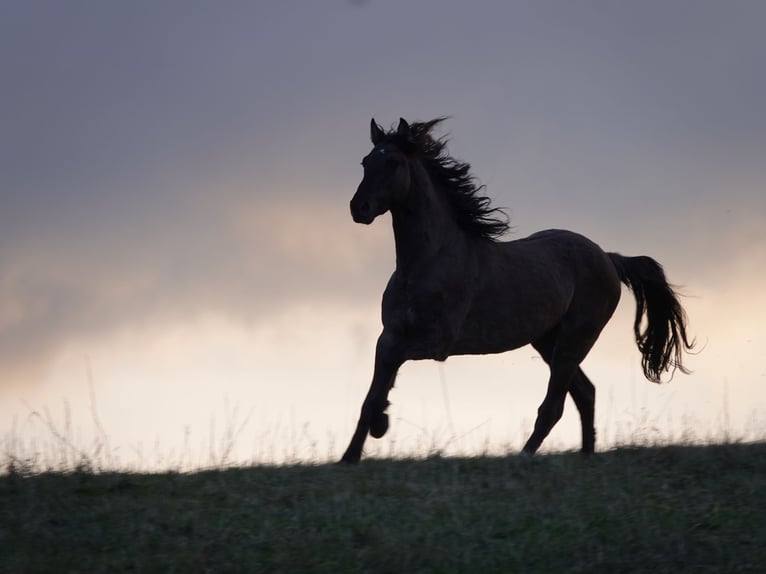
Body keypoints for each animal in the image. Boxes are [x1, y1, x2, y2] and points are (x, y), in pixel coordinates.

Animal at [341, 117, 694, 463]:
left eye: (394, 162)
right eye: (366, 162)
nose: (359, 208)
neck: (425, 264)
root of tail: (609, 257)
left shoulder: (437, 341)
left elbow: (386, 378)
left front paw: (379, 425)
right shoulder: (389, 336)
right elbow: (372, 394)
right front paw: (352, 454)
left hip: (574, 339)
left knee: (554, 406)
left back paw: (525, 455)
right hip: (548, 341)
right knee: (585, 393)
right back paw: (586, 455)